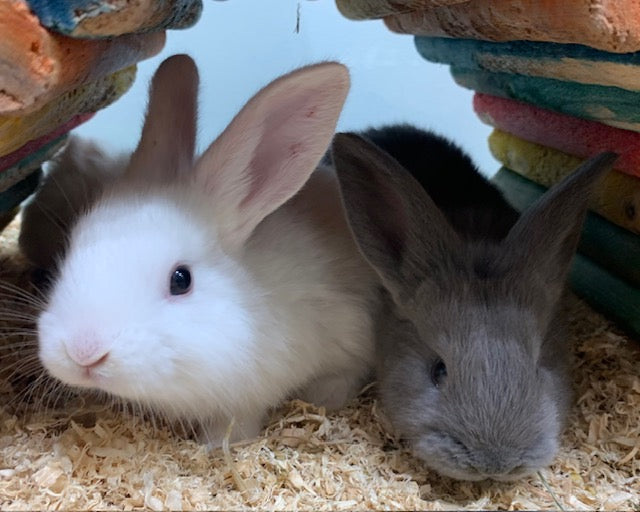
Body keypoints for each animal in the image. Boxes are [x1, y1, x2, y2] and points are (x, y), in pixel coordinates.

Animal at [36, 55, 380, 446]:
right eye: (71, 249)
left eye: (181, 280)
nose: (84, 352)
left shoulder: (247, 398)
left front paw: (214, 448)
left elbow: (233, 428)